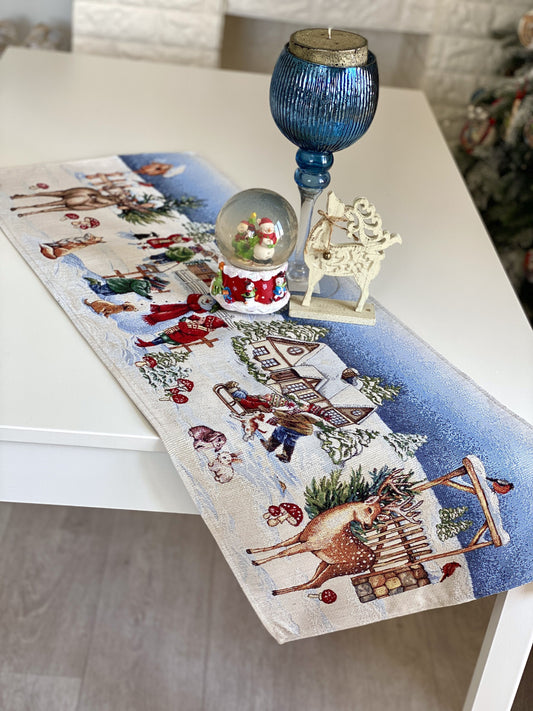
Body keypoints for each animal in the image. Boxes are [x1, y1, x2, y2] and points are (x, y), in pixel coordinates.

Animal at [247, 470, 417, 595]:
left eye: (376, 516)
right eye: (370, 509)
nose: (368, 526)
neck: (323, 528)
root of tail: (373, 559)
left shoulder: (312, 544)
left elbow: (284, 552)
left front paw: (256, 562)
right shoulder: (301, 536)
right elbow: (279, 545)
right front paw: (251, 551)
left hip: (343, 568)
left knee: (315, 584)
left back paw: (277, 592)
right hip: (326, 563)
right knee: (312, 580)